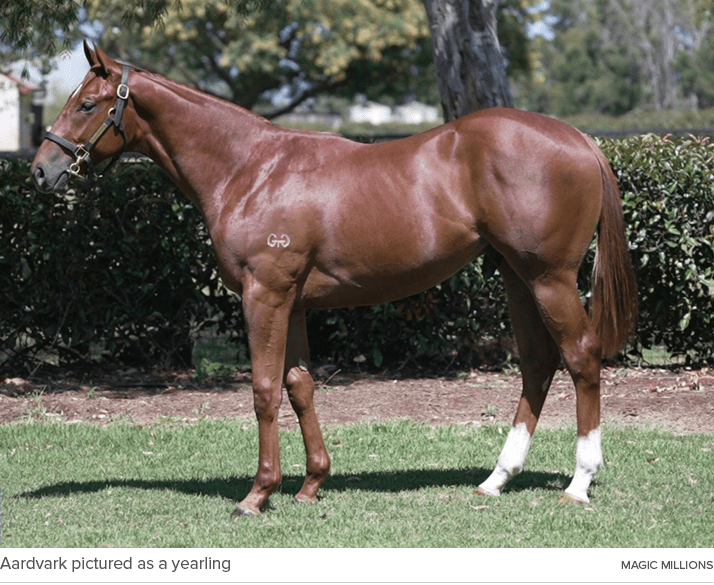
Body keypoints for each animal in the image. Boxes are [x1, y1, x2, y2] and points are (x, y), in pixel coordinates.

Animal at [32, 42, 636, 516]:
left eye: (87, 103)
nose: (41, 169)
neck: (250, 169)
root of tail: (581, 140)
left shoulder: (265, 296)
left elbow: (264, 389)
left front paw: (257, 495)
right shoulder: (294, 303)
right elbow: (300, 386)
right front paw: (311, 485)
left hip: (548, 278)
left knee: (581, 357)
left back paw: (580, 482)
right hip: (516, 276)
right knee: (538, 363)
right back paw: (496, 480)